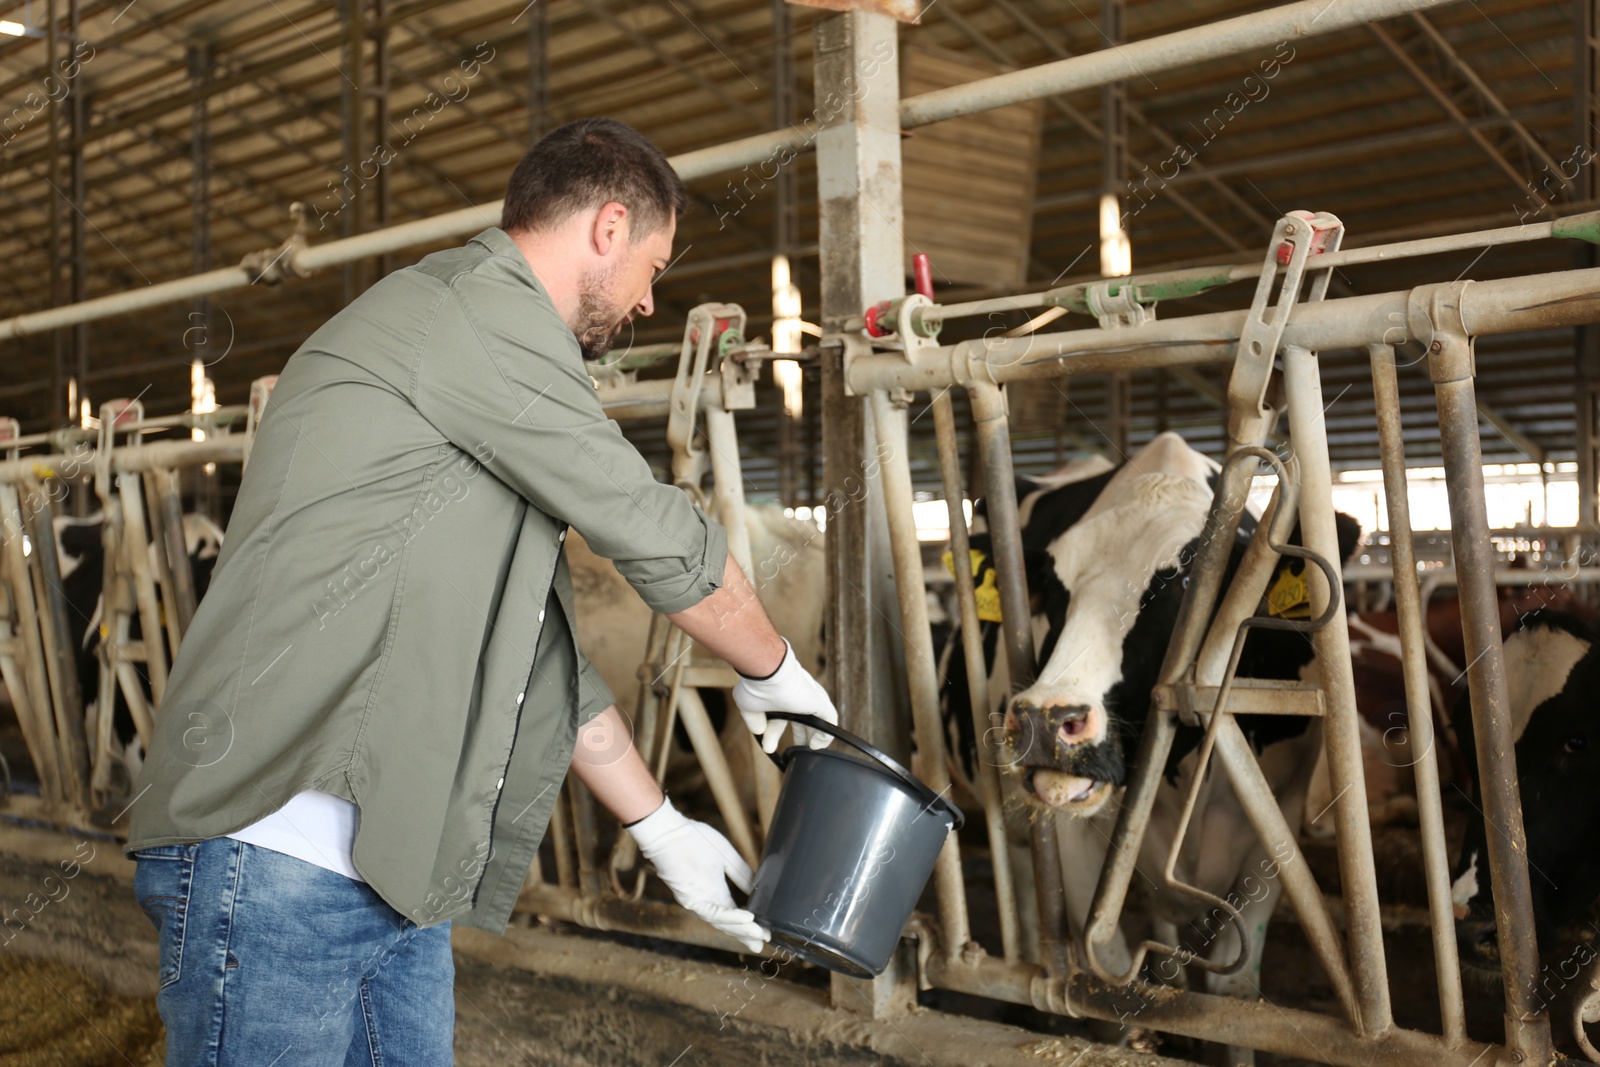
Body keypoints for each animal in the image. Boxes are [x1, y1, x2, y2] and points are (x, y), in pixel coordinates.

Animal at [940, 431, 1356, 1062]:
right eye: (1052, 590)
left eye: (1183, 587)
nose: (1045, 719)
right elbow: (1105, 984)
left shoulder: (1277, 815)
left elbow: (1235, 996)